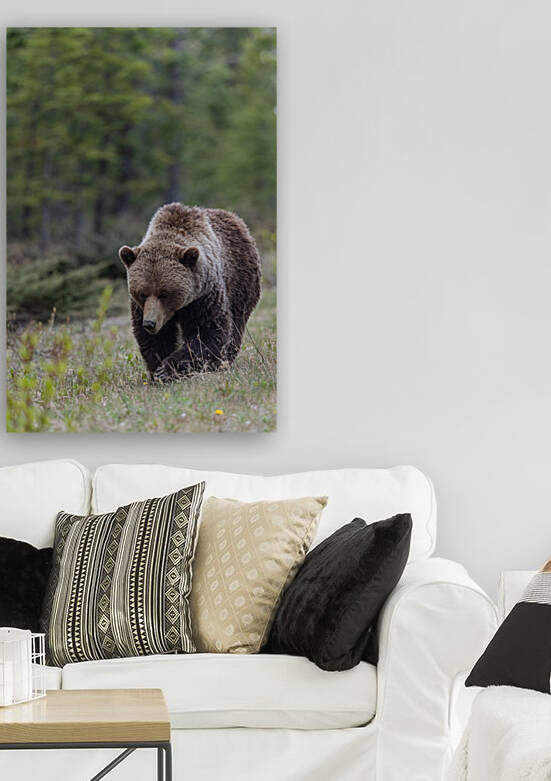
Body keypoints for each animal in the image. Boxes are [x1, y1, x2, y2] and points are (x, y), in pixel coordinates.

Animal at [119, 203, 261, 382]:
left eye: (164, 293)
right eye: (142, 293)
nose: (150, 323)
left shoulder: (204, 297)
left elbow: (208, 332)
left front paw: (167, 369)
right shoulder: (141, 308)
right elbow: (155, 340)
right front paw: (157, 370)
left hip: (240, 282)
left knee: (236, 324)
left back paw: (222, 362)